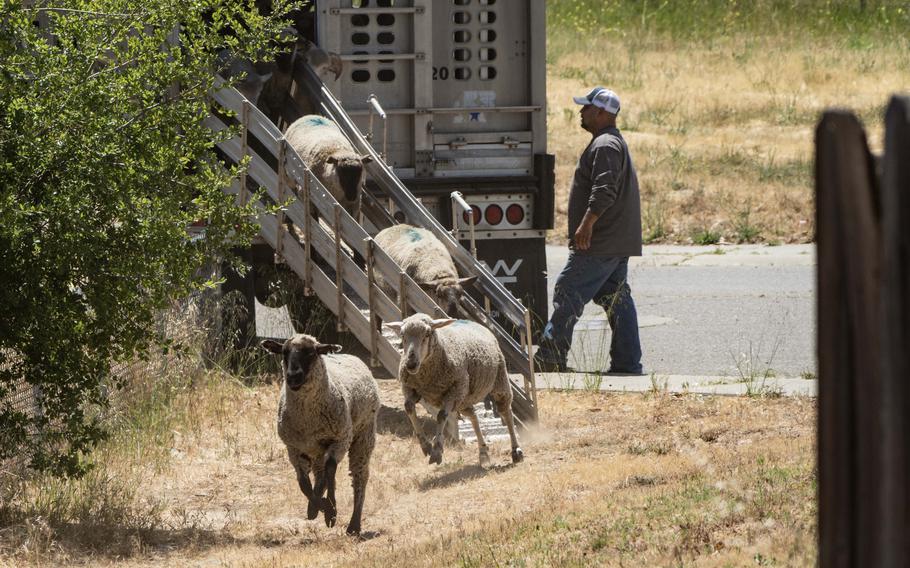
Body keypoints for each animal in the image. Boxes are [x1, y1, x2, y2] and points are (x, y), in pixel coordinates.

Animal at [260, 330, 382, 536]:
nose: (293, 377)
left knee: (358, 476)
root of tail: (351, 356)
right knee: (319, 472)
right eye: (284, 352)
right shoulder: (293, 448)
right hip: (316, 448)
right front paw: (320, 507)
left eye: (311, 353)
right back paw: (315, 507)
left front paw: (331, 511)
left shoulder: (340, 438)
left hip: (363, 435)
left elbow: (331, 468)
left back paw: (354, 526)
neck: (308, 420)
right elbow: (303, 482)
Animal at [384, 310, 528, 466]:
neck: (426, 375)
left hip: (498, 381)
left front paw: (437, 450)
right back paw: (483, 452)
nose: (410, 364)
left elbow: (441, 416)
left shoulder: (454, 390)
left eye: (427, 333)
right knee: (473, 416)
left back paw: (516, 451)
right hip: (463, 399)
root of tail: (473, 322)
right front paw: (425, 445)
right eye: (402, 335)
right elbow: (408, 407)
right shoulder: (411, 388)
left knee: (506, 412)